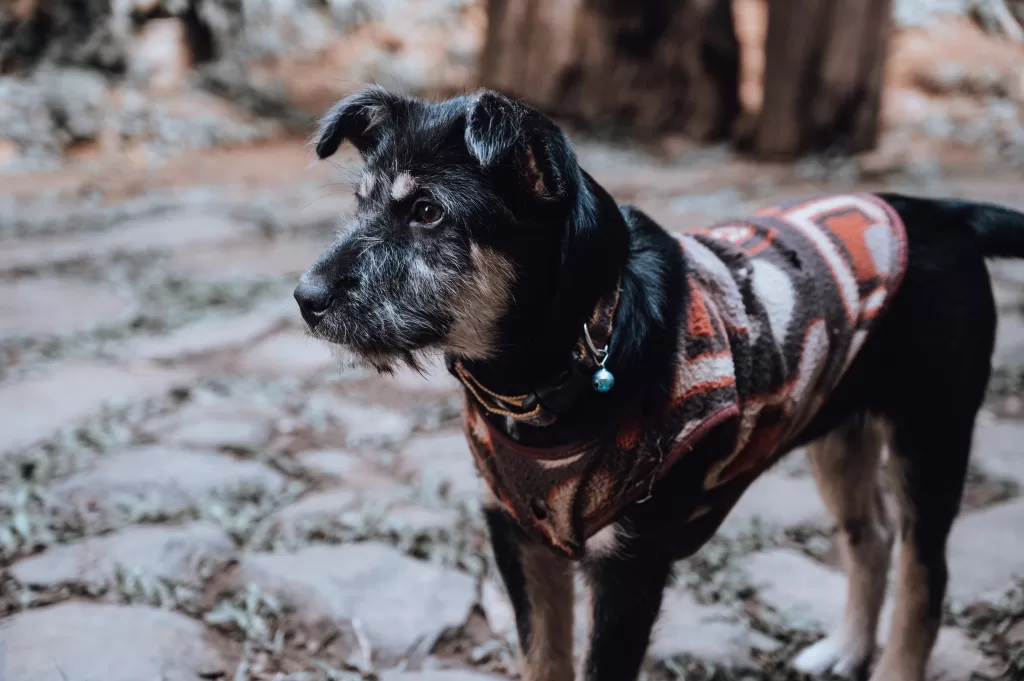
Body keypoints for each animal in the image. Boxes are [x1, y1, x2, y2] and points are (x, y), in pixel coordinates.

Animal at [292, 84, 1019, 679]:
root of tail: (942, 213)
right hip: (838, 429)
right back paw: (845, 650)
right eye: (360, 204)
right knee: (871, 539)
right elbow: (542, 661)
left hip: (932, 433)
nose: (305, 297)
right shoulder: (519, 538)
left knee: (925, 576)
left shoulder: (629, 569)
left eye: (427, 211)